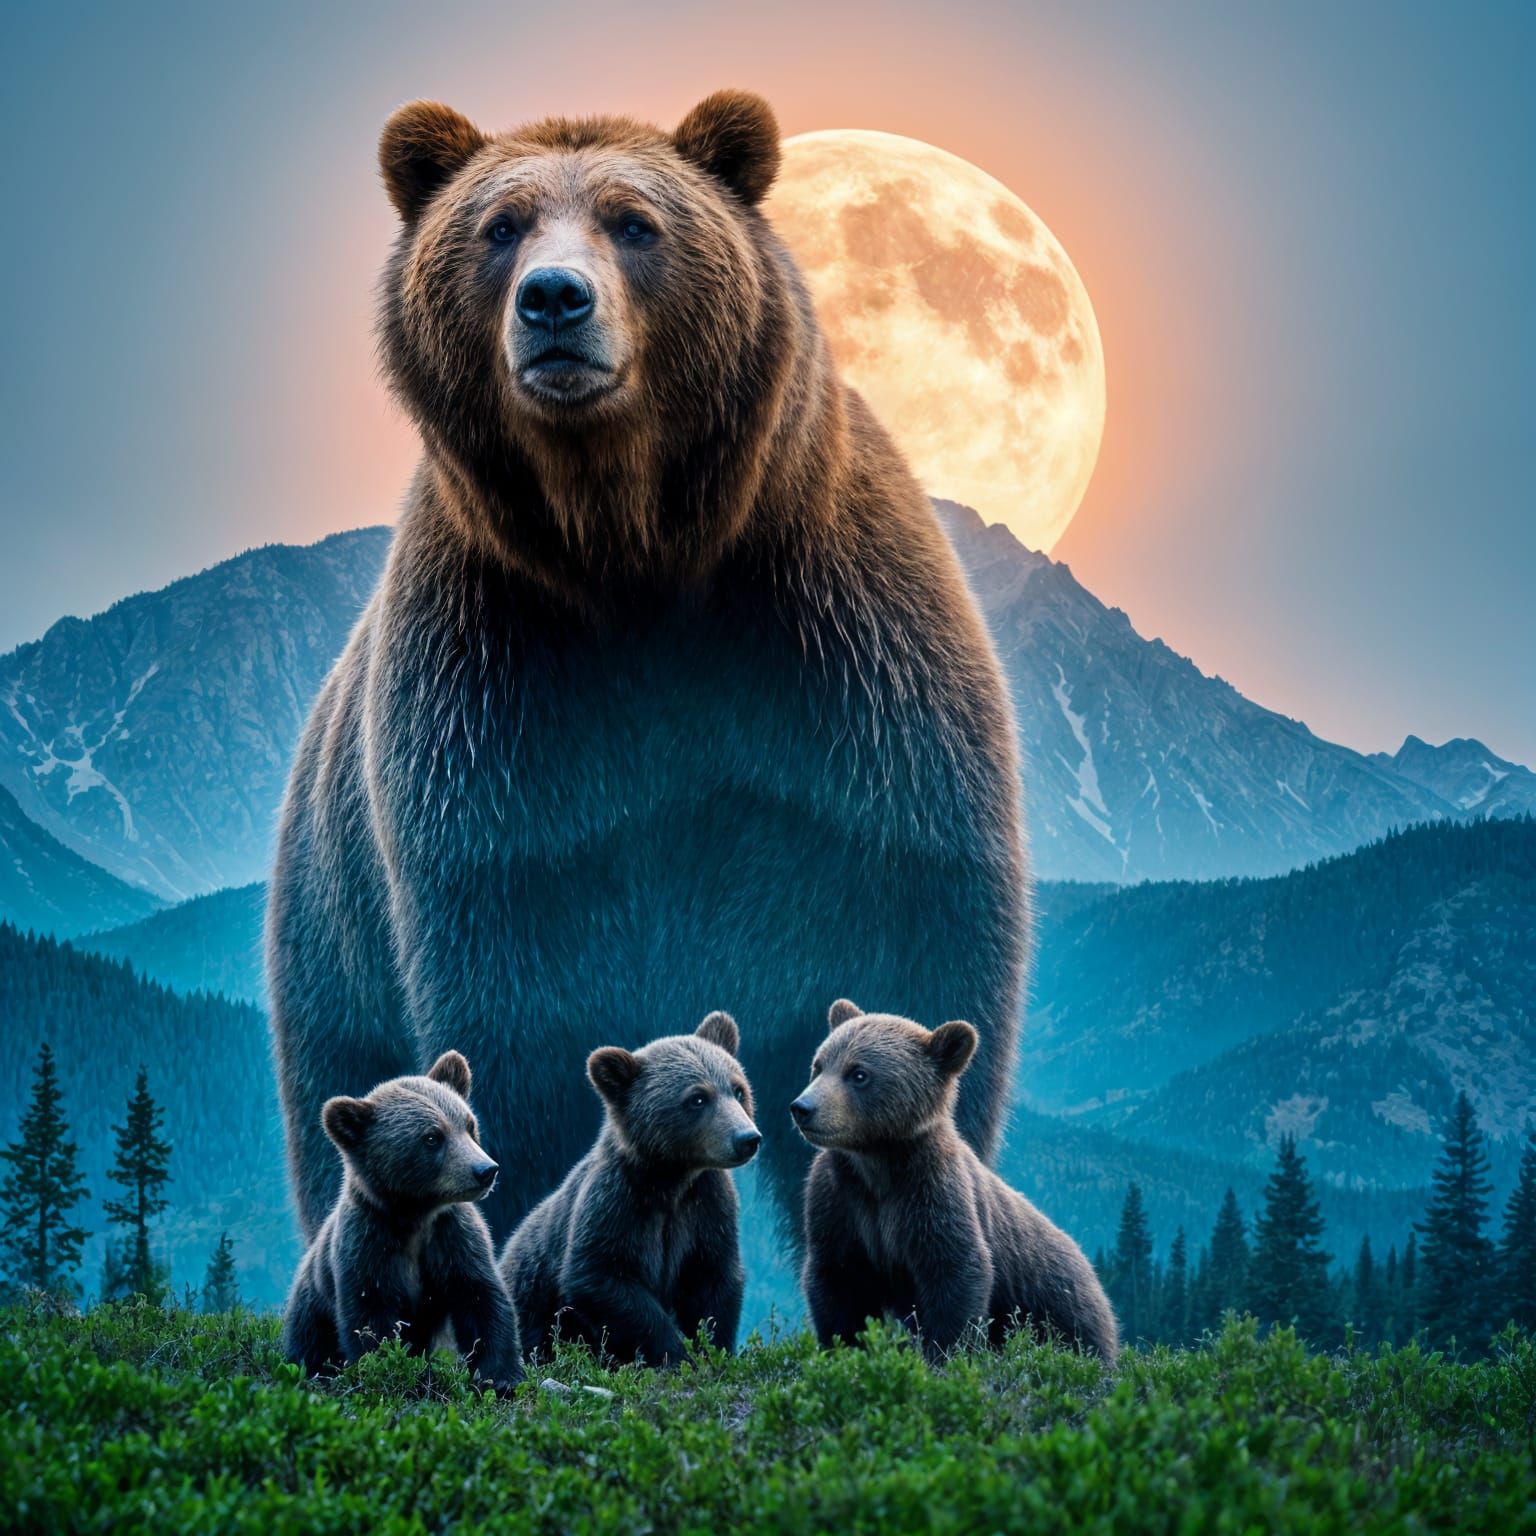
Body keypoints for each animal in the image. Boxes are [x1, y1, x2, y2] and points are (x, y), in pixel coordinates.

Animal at [266, 87, 1028, 1272]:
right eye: (500, 226)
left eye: (635, 222)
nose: (555, 300)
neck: (634, 549)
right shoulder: (502, 698)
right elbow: (521, 999)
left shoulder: (836, 674)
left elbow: (904, 922)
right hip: (331, 932)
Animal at [281, 1050, 523, 1391]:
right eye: (432, 1137)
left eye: (468, 1124)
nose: (485, 1170)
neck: (415, 1215)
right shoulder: (368, 1245)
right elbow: (371, 1320)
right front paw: (401, 1371)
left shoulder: (453, 1239)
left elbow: (481, 1298)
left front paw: (501, 1375)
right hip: (311, 1312)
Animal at [498, 1011, 759, 1365]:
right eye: (698, 1098)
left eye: (738, 1089)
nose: (747, 1138)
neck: (671, 1178)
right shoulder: (616, 1203)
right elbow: (601, 1276)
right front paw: (675, 1354)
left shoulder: (707, 1207)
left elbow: (715, 1280)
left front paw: (712, 1350)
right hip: (528, 1298)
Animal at [792, 1001, 1118, 1363]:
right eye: (819, 1065)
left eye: (859, 1073)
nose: (803, 1108)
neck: (878, 1162)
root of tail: (1096, 1280)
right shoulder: (838, 1201)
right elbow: (836, 1280)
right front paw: (844, 1348)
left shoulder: (933, 1194)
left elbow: (956, 1272)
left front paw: (943, 1354)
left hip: (1059, 1305)